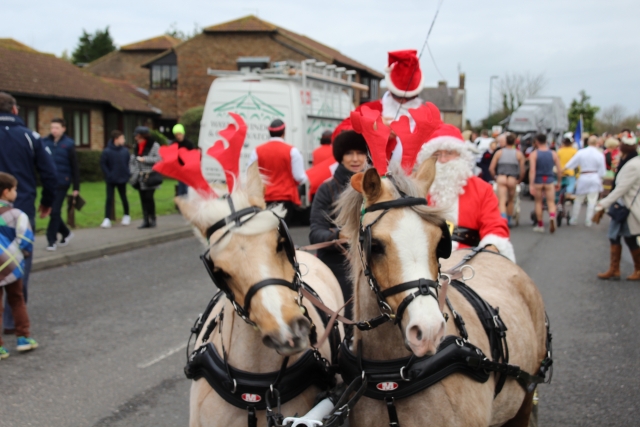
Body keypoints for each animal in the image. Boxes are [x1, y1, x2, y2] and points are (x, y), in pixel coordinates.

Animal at [338, 159, 548, 426]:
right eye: (374, 246)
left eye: (440, 242)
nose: (428, 331)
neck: (392, 377)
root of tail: (488, 250)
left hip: (526, 397)